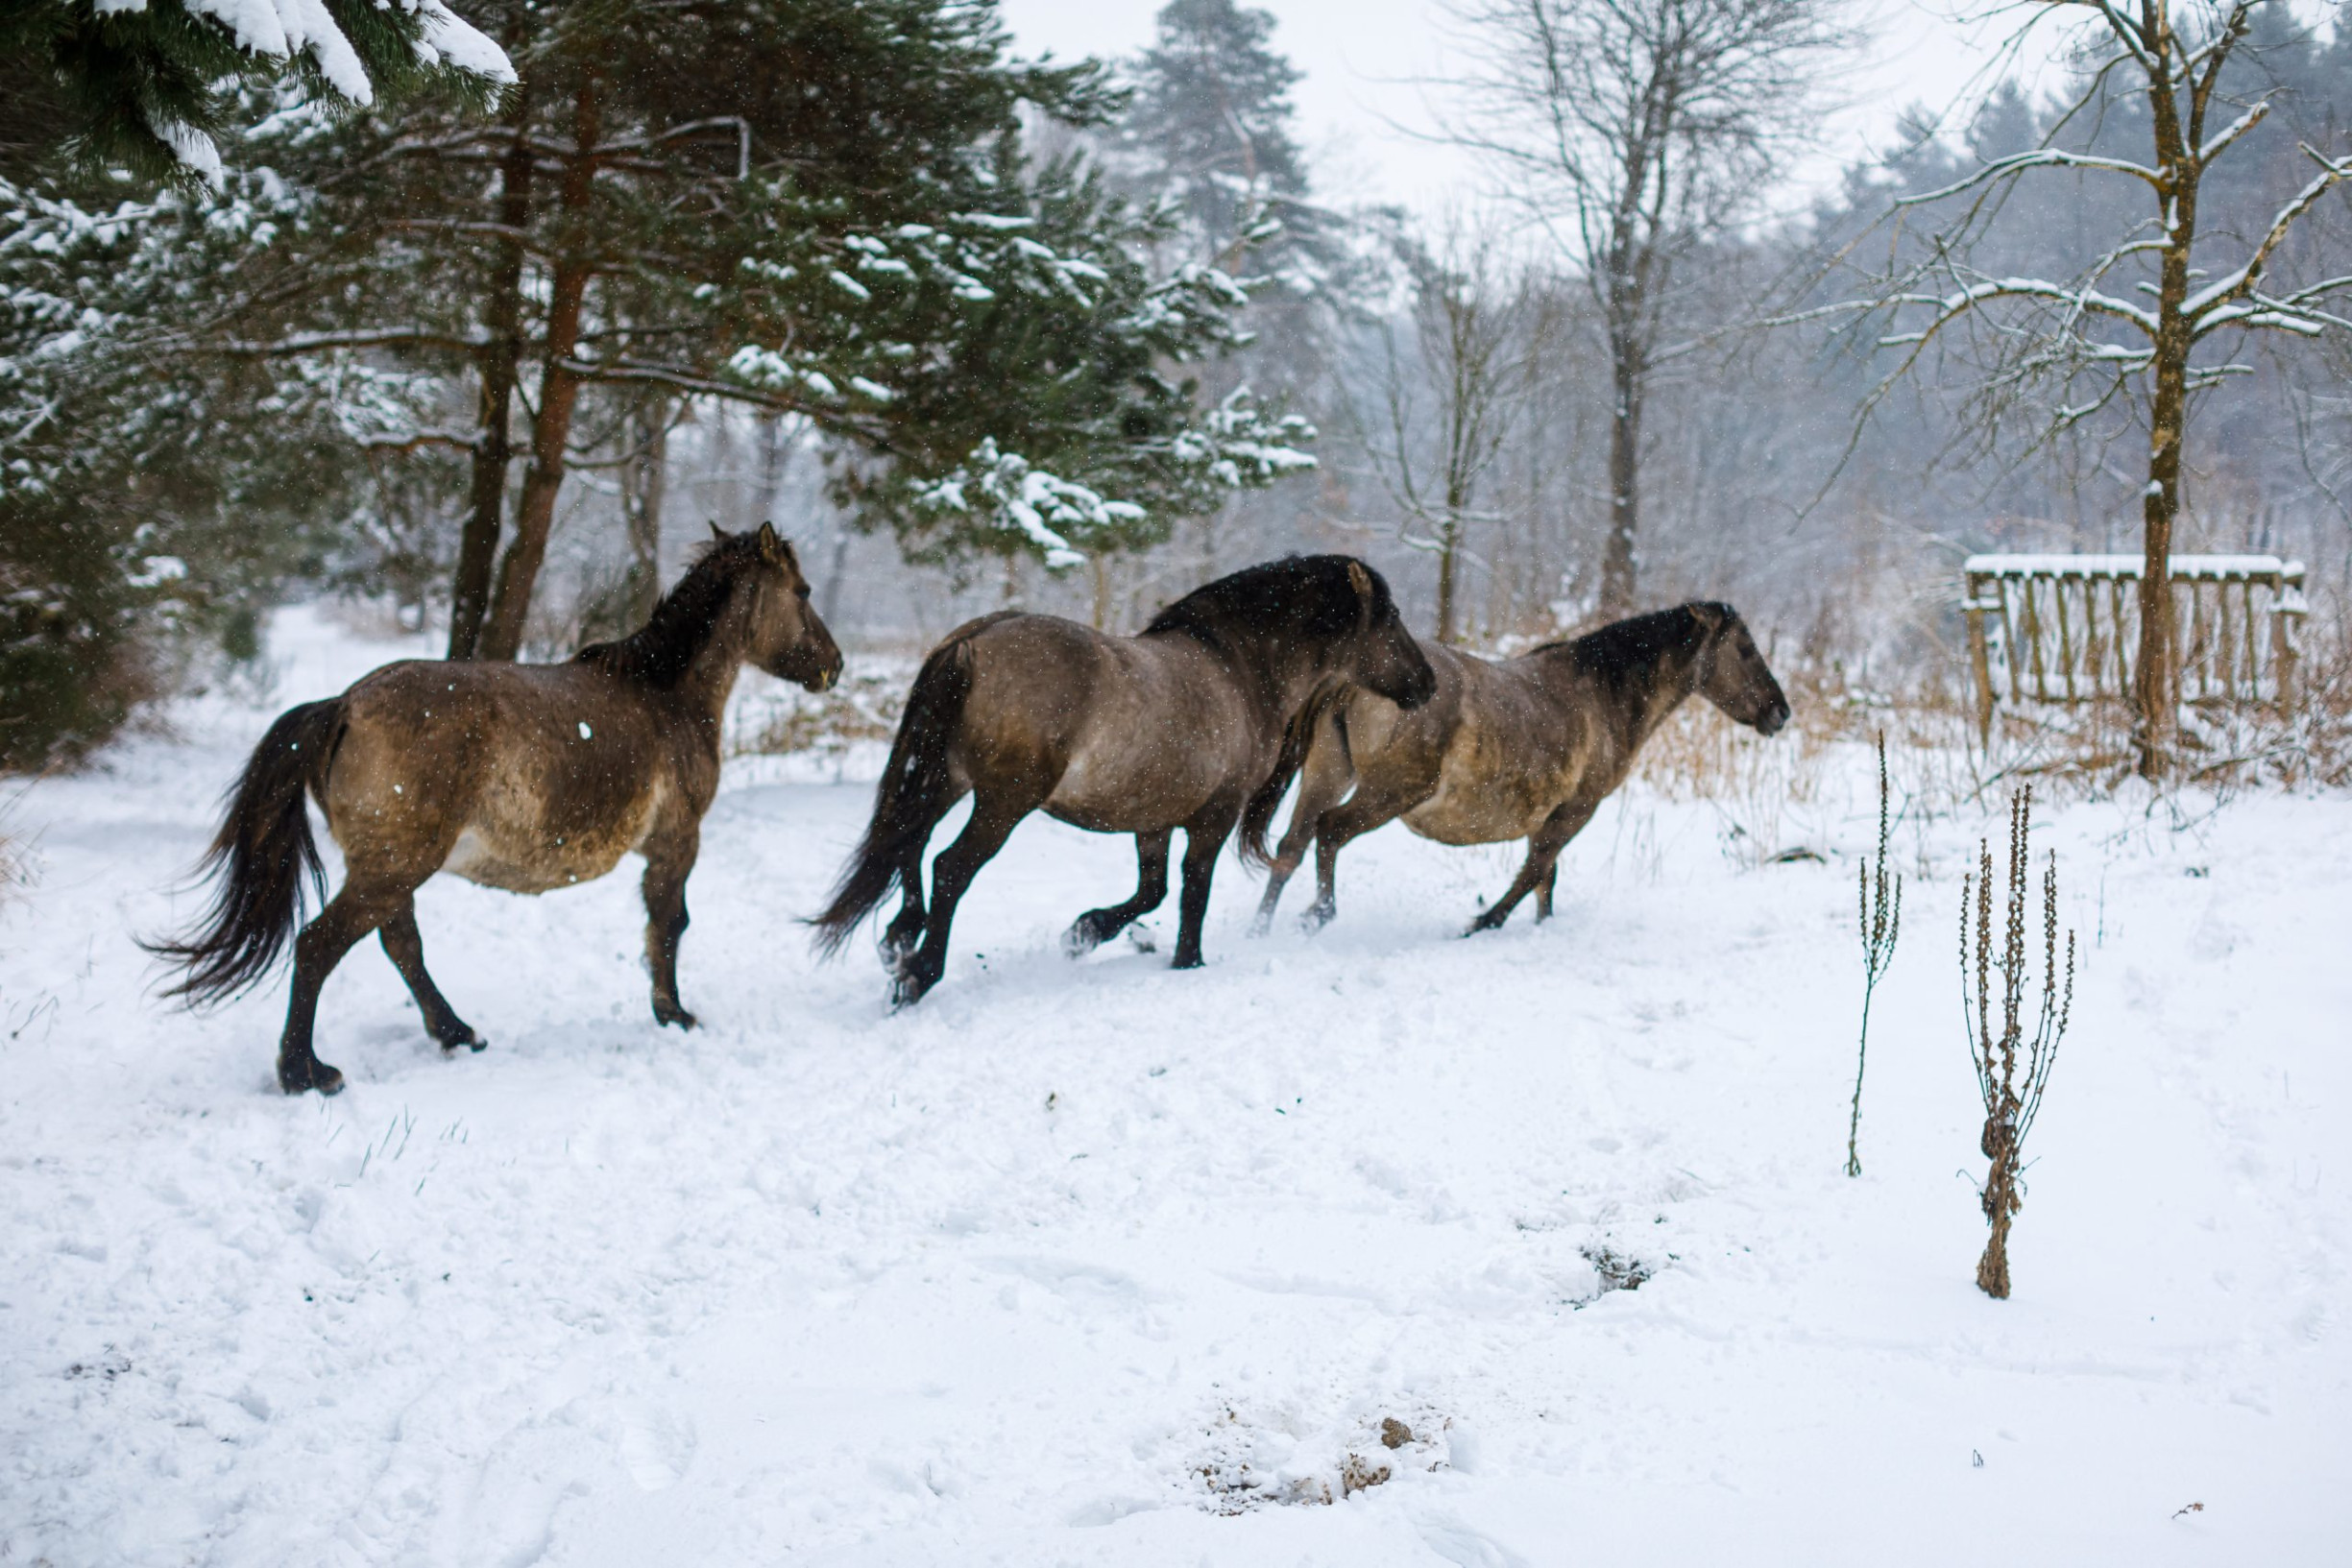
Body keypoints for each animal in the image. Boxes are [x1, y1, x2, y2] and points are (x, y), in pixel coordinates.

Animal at [149, 523, 846, 1091]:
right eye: (803, 590)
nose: (835, 666)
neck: (665, 695)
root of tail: (343, 705)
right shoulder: (678, 841)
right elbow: (669, 925)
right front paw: (674, 1015)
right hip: (392, 867)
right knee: (320, 945)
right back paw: (306, 1073)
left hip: (387, 868)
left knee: (400, 945)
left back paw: (457, 1033)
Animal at [809, 557, 1429, 1010]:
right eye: (1392, 616)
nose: (1427, 683)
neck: (1237, 671)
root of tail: (976, 640)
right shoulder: (1214, 817)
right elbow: (1192, 892)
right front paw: (1187, 962)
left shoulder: (1152, 819)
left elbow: (1151, 890)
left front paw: (1083, 934)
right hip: (1003, 802)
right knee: (950, 867)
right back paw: (918, 973)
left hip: (944, 780)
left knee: (906, 847)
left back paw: (897, 943)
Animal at [1250, 601, 1778, 940]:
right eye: (1746, 650)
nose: (1781, 711)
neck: (1603, 696)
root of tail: (1352, 677)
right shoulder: (1576, 809)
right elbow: (1535, 872)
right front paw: (1482, 923)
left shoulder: (1549, 813)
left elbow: (1545, 878)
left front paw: (1537, 926)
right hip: (1391, 791)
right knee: (1330, 832)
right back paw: (1318, 915)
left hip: (1328, 772)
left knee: (1291, 846)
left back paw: (1262, 928)